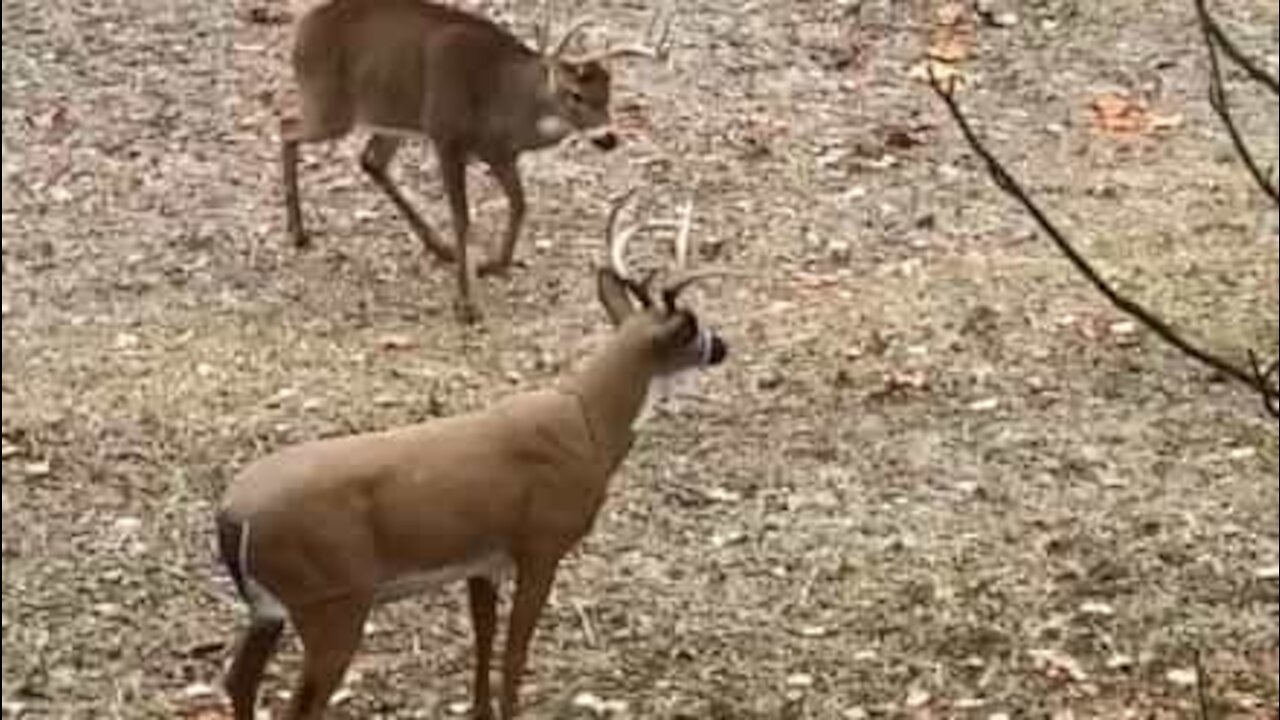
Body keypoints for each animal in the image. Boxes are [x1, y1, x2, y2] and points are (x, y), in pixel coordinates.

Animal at [215, 192, 727, 717]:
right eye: (694, 329)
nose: (722, 347)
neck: (591, 426)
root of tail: (230, 515)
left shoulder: (483, 560)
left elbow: (484, 640)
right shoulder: (542, 542)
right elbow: (515, 652)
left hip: (271, 610)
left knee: (238, 681)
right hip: (332, 599)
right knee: (299, 703)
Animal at [281, 0, 675, 320]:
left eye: (608, 93)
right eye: (574, 94)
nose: (608, 138)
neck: (503, 99)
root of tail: (303, 30)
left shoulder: (500, 153)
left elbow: (520, 204)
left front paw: (493, 264)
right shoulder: (447, 137)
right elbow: (462, 217)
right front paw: (467, 305)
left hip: (393, 117)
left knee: (370, 160)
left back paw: (439, 248)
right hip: (330, 103)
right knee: (287, 128)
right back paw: (299, 233)